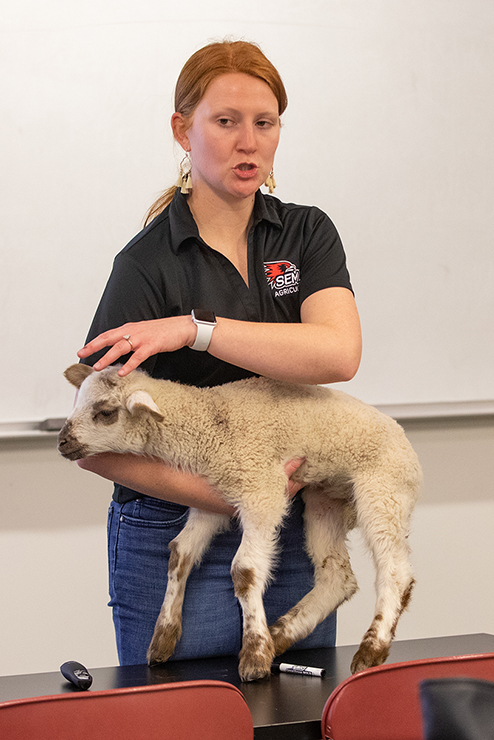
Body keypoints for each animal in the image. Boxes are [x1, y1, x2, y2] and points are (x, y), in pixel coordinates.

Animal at [58, 363, 421, 682]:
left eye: (106, 412)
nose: (62, 441)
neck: (211, 422)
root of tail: (405, 438)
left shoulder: (262, 491)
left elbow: (244, 571)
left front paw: (254, 656)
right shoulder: (213, 501)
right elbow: (179, 553)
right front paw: (163, 639)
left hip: (384, 491)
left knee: (395, 571)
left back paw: (370, 651)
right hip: (324, 501)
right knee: (338, 577)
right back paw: (281, 633)